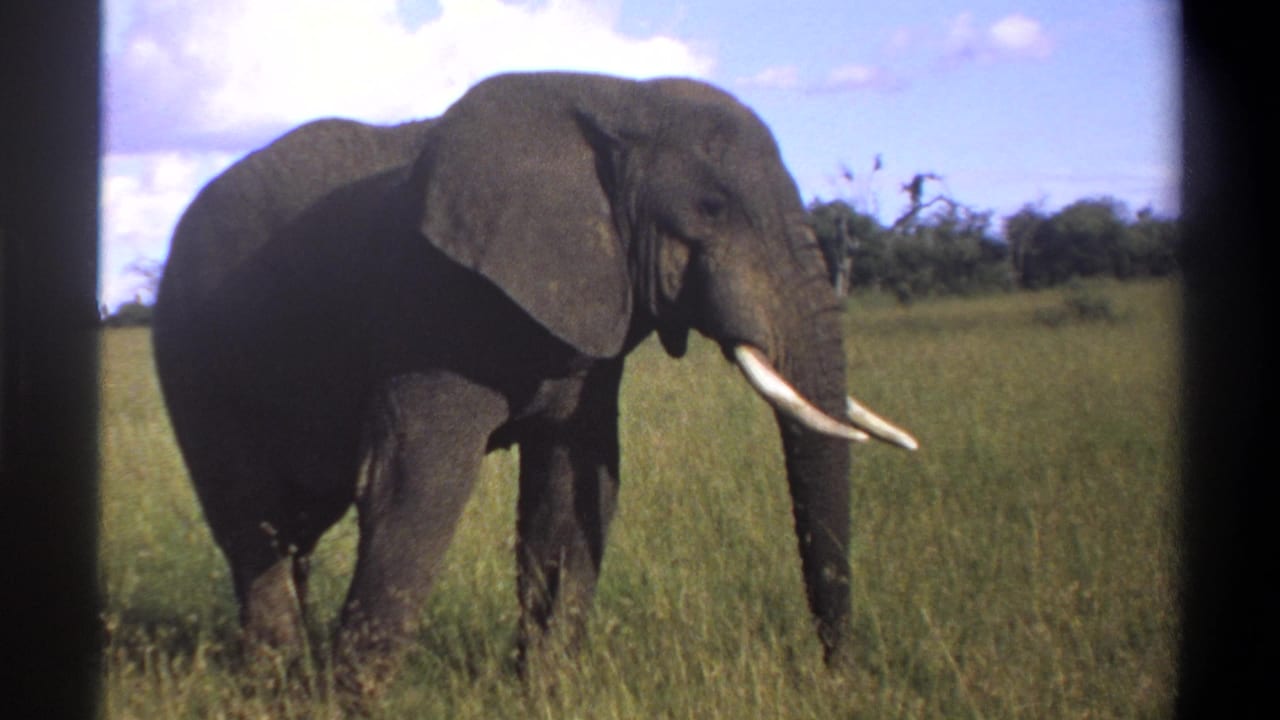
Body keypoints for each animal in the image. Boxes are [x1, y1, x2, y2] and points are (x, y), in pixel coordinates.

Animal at [152, 71, 917, 698]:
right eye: (711, 208)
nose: (835, 676)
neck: (619, 99)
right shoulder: (427, 310)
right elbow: (414, 483)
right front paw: (347, 702)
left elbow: (575, 485)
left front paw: (545, 694)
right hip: (193, 356)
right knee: (253, 519)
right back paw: (274, 680)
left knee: (296, 525)